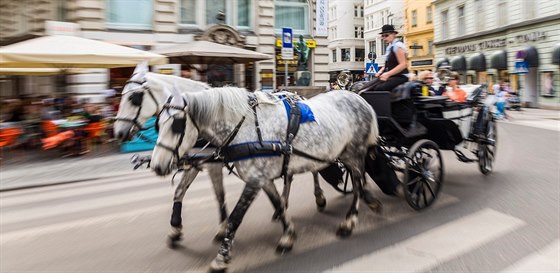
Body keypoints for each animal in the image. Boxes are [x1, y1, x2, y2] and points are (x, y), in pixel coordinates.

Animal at [151, 86, 382, 270]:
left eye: (177, 125)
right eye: (157, 125)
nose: (156, 166)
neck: (246, 128)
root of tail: (360, 99)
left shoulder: (254, 180)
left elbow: (235, 217)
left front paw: (222, 257)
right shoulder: (263, 179)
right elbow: (277, 201)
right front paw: (288, 235)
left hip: (354, 153)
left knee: (358, 182)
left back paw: (349, 221)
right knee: (346, 179)